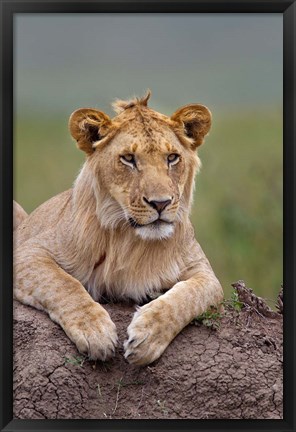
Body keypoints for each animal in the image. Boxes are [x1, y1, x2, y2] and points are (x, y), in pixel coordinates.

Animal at [13, 91, 222, 364]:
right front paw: (94, 331)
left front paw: (147, 336)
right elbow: (63, 283)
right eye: (129, 159)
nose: (161, 203)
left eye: (172, 158)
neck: (130, 240)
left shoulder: (205, 274)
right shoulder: (28, 253)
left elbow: (187, 296)